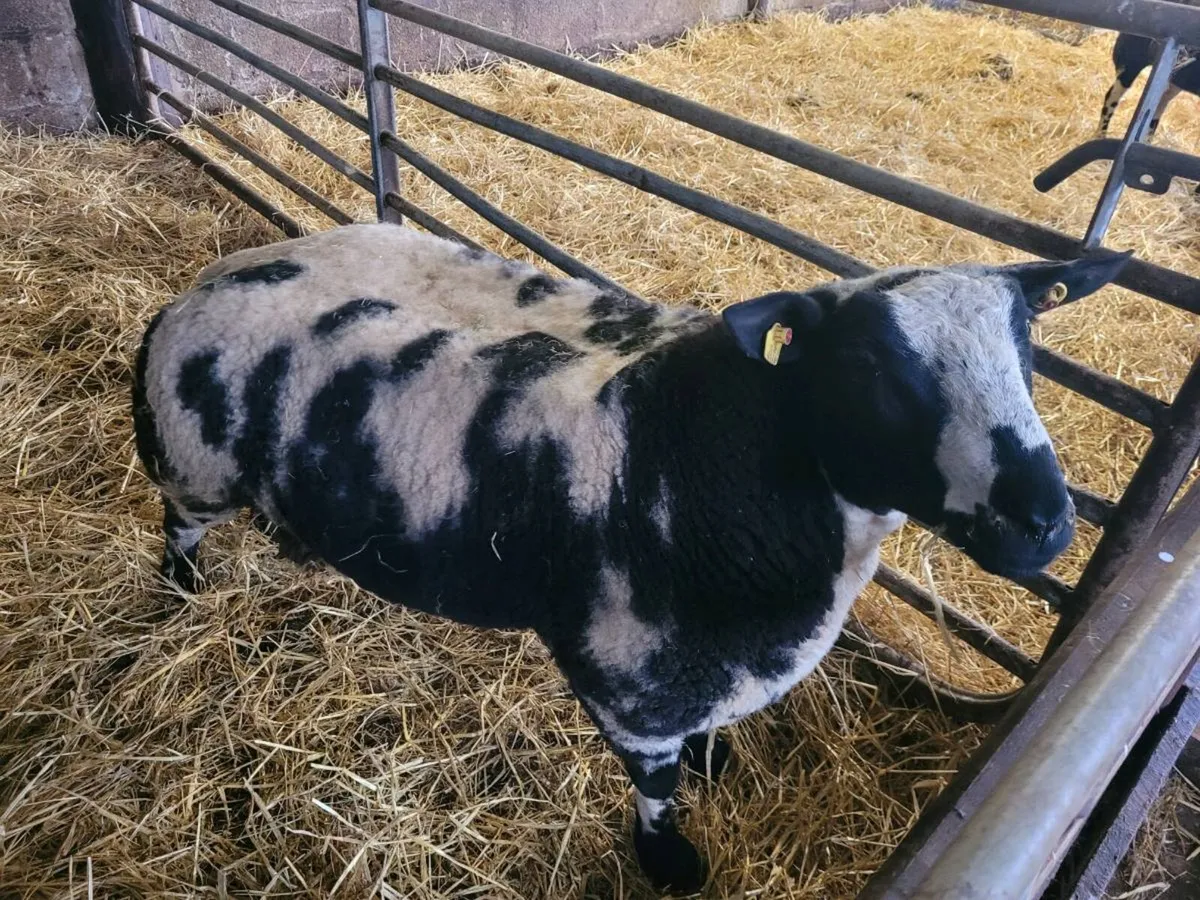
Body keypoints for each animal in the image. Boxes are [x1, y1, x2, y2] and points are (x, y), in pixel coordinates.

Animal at [132, 223, 1130, 893]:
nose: (1045, 523)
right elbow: (656, 785)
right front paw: (669, 860)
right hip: (193, 464)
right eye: (876, 371)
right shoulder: (636, 682)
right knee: (179, 525)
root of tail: (203, 281)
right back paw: (181, 591)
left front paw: (717, 763)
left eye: (1029, 343)